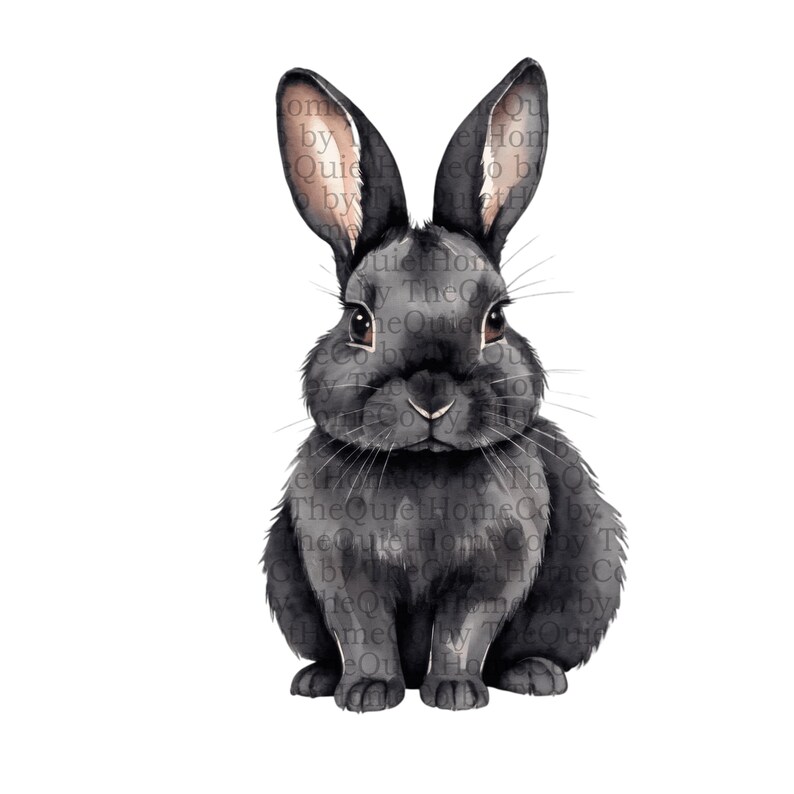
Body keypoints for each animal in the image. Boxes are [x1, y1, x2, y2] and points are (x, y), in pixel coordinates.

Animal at [262, 58, 626, 712]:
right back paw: (317, 681)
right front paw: (368, 694)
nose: (431, 394)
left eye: (496, 319)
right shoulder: (337, 567)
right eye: (359, 321)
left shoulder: (496, 567)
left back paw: (535, 677)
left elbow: (465, 627)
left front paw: (455, 693)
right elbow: (363, 630)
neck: (423, 470)